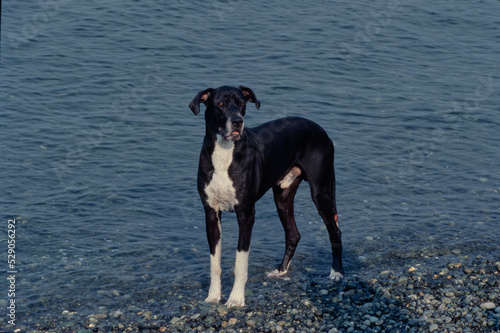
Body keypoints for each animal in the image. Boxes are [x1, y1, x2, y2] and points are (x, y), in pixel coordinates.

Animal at [188, 85, 344, 306]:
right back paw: (281, 270)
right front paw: (213, 296)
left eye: (241, 104)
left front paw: (235, 299)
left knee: (335, 231)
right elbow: (214, 262)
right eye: (221, 104)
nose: (237, 122)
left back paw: (337, 272)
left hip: (321, 191)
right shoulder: (211, 213)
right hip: (282, 196)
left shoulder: (246, 214)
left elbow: (240, 261)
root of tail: (321, 130)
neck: (224, 152)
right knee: (293, 234)